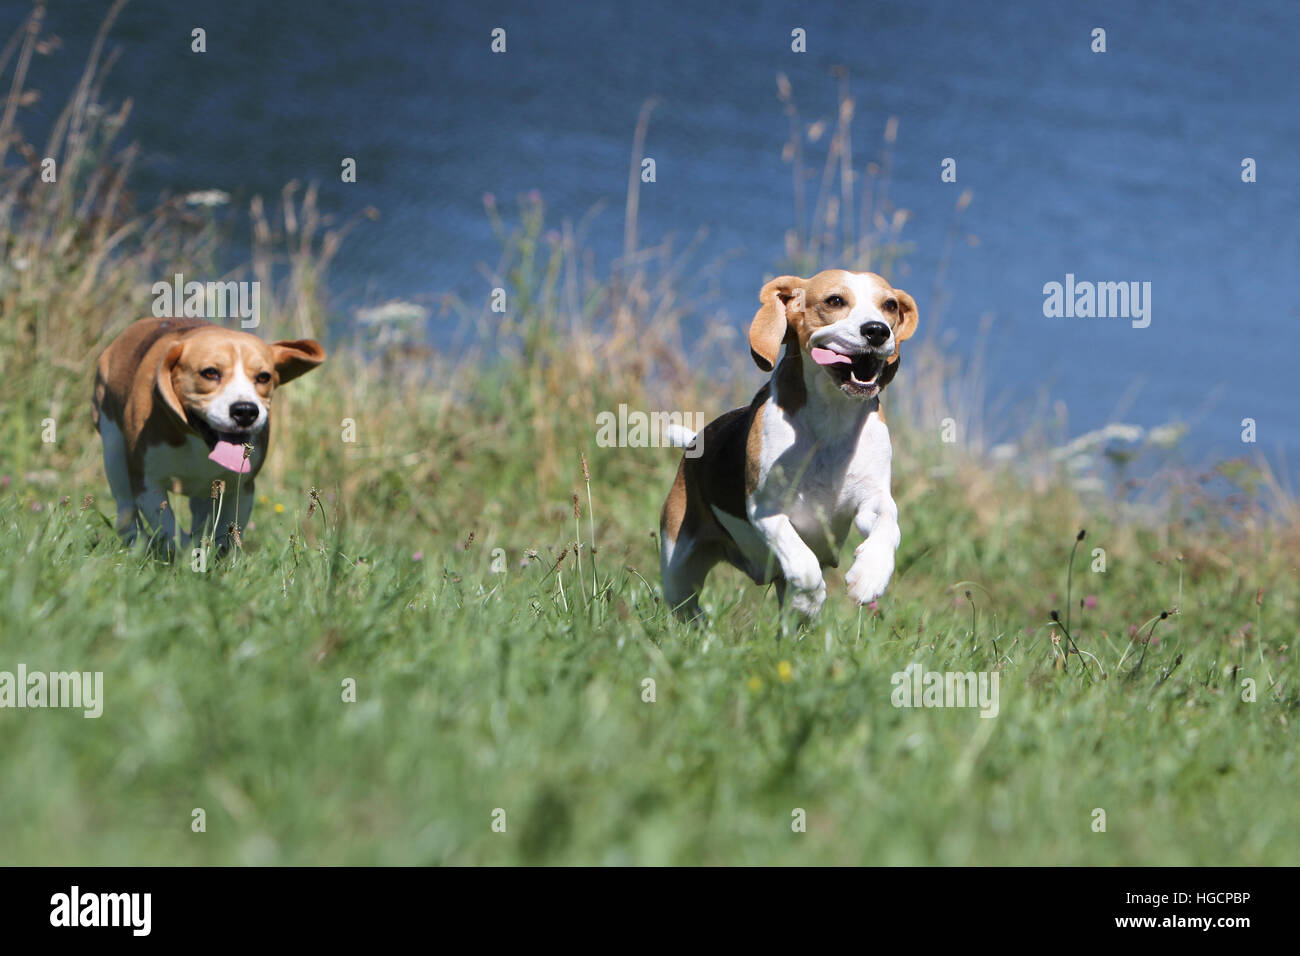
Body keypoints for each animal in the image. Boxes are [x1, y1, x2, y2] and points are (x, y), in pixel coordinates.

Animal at [92, 317, 325, 548]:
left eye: (264, 377)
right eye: (210, 372)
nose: (246, 411)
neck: (197, 439)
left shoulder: (241, 488)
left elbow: (225, 536)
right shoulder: (148, 485)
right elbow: (173, 532)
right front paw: (188, 554)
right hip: (114, 452)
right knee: (125, 509)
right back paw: (136, 543)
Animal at [660, 269, 915, 621]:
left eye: (889, 305)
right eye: (835, 301)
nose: (877, 330)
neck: (831, 418)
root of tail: (696, 442)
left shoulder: (871, 498)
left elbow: (889, 525)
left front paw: (870, 574)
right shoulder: (767, 510)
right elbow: (804, 566)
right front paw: (808, 601)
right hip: (677, 565)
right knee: (686, 608)